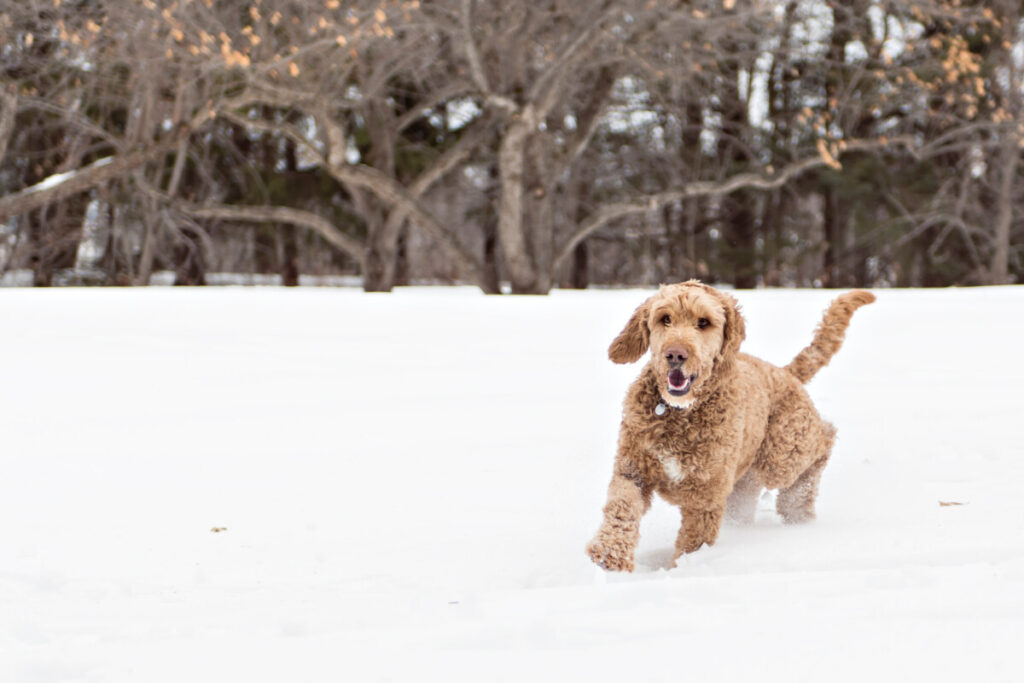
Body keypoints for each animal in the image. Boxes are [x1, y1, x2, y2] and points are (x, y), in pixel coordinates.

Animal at [585, 280, 872, 573]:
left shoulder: (706, 494)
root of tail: (785, 372)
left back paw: (798, 508)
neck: (680, 412)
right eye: (664, 318)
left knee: (825, 439)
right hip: (746, 478)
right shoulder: (633, 469)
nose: (675, 354)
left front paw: (685, 568)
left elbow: (694, 540)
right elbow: (622, 506)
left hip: (782, 453)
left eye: (703, 322)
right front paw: (609, 553)